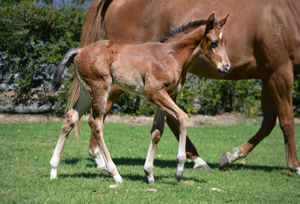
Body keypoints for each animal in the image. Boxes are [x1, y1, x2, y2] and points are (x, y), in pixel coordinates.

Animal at [50, 14, 231, 183]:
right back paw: (115, 174)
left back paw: (53, 170)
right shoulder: (154, 93)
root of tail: (80, 51)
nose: (226, 67)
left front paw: (149, 173)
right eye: (213, 43)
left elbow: (157, 131)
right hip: (100, 88)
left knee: (71, 118)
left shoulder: (166, 95)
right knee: (96, 124)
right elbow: (183, 118)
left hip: (86, 92)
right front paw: (179, 171)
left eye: (225, 41)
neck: (171, 55)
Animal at [71, 0, 300, 175]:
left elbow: (268, 122)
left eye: (225, 42)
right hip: (117, 83)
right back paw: (101, 159)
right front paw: (295, 167)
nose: (226, 67)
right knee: (100, 113)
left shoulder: (268, 75)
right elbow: (286, 120)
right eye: (214, 43)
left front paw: (231, 156)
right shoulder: (280, 70)